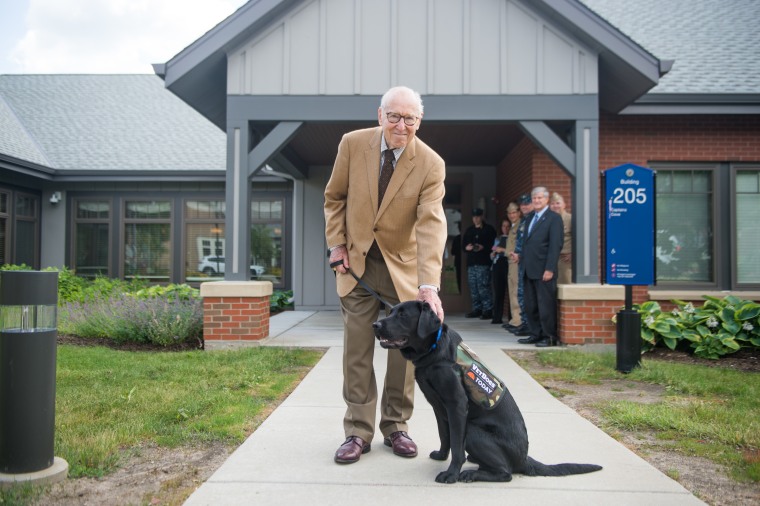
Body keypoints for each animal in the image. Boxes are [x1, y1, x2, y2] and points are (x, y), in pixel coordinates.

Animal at [372, 300, 604, 482]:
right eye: (390, 312)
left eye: (403, 315)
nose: (375, 324)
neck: (433, 349)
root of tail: (524, 458)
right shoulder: (439, 406)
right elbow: (445, 435)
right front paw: (440, 455)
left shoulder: (457, 406)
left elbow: (457, 445)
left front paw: (451, 474)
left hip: (474, 431)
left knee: (506, 472)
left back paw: (470, 474)